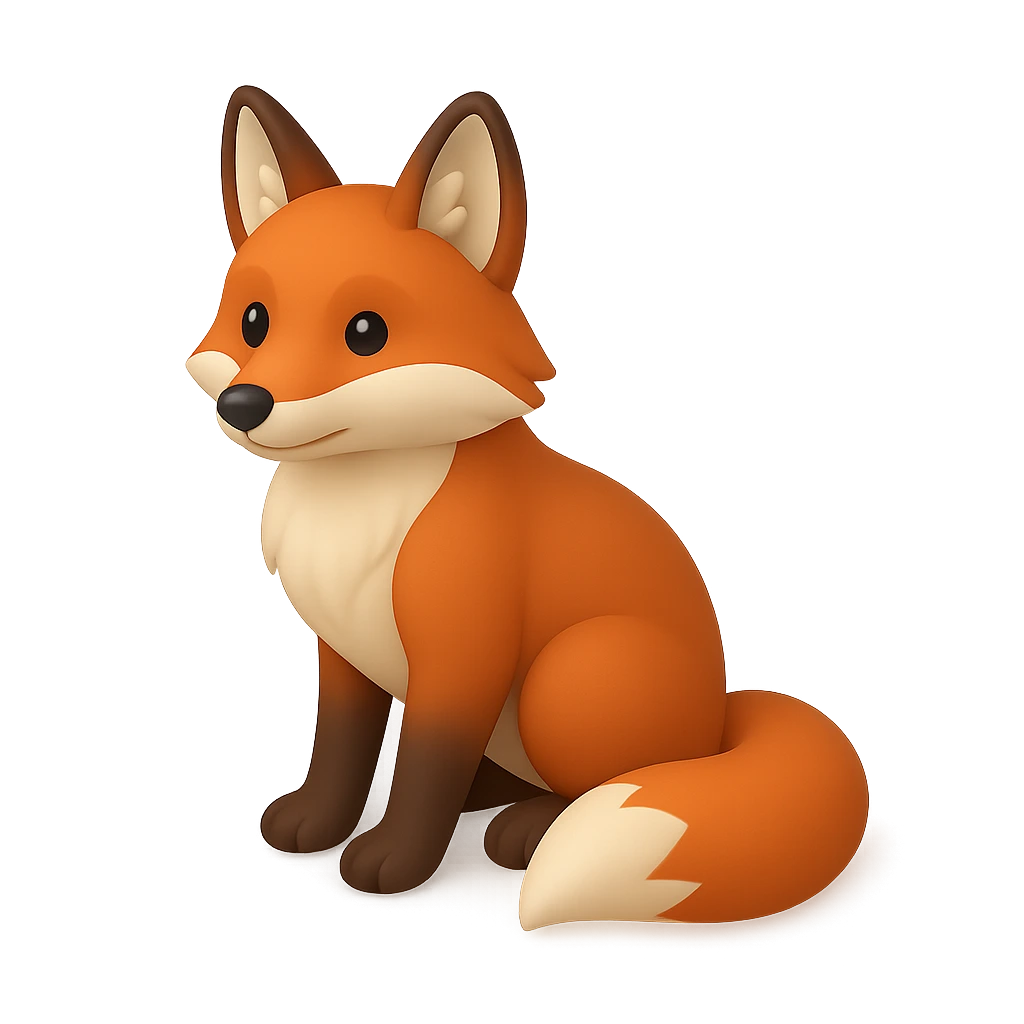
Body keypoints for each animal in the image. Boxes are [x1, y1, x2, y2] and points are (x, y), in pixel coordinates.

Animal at [185, 85, 869, 930]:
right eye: (253, 321)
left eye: (366, 332)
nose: (246, 404)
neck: (358, 511)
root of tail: (718, 722)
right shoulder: (341, 650)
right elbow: (344, 750)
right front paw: (314, 823)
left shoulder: (462, 655)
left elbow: (426, 770)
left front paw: (395, 860)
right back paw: (491, 796)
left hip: (570, 674)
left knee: (588, 788)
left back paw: (525, 829)